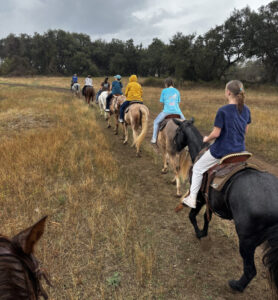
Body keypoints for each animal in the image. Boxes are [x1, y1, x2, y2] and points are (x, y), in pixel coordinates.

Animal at [173, 118, 278, 294]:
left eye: (177, 132)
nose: (173, 147)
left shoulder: (199, 197)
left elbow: (192, 216)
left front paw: (199, 234)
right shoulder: (209, 201)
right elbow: (206, 218)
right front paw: (204, 232)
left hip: (247, 241)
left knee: (250, 270)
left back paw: (236, 285)